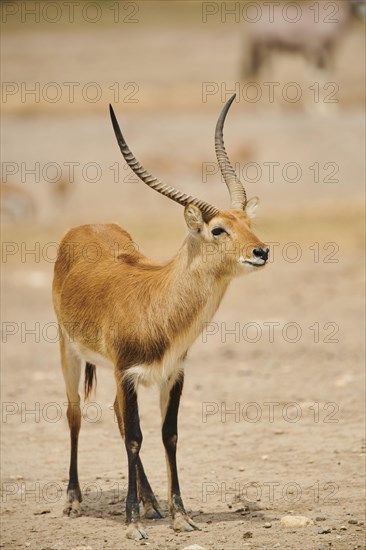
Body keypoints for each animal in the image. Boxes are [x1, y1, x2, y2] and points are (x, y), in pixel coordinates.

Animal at [52, 95, 268, 544]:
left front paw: (179, 516)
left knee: (117, 416)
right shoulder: (128, 372)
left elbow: (169, 435)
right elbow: (135, 436)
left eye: (247, 222)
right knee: (76, 413)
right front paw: (133, 524)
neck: (157, 303)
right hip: (69, 351)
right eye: (218, 229)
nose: (261, 251)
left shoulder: (172, 373)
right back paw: (74, 502)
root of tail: (84, 226)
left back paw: (151, 503)